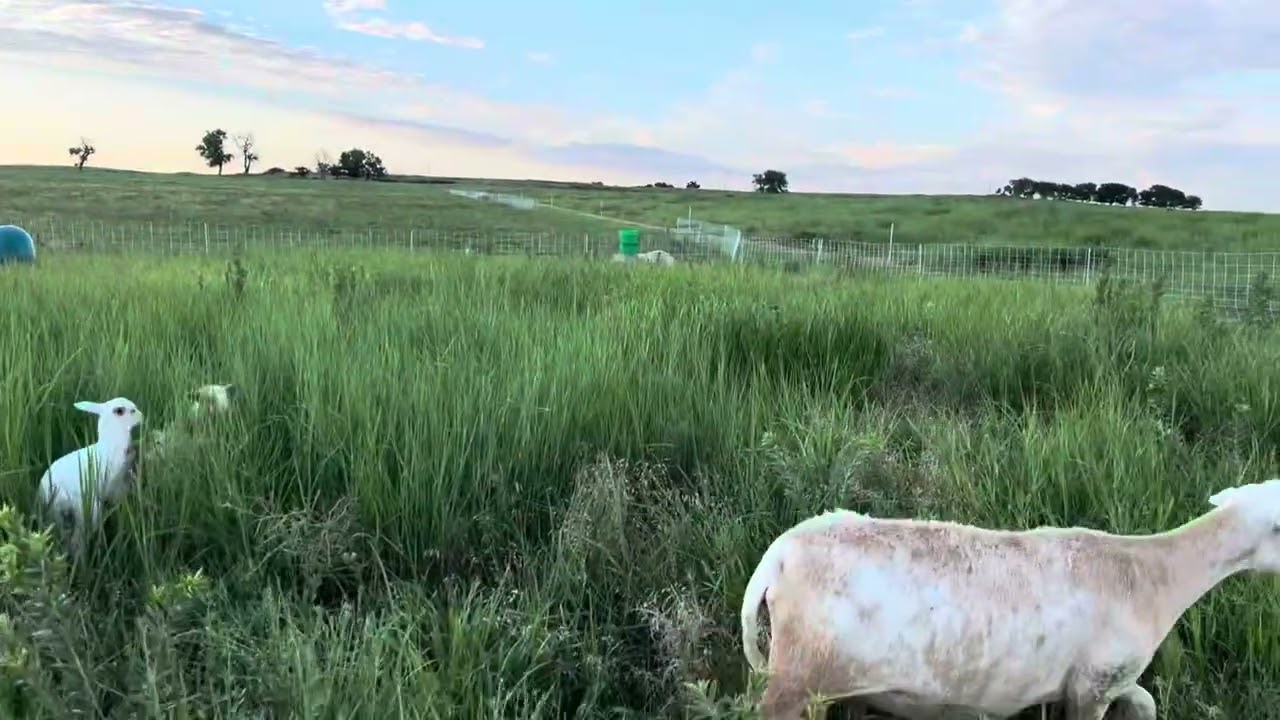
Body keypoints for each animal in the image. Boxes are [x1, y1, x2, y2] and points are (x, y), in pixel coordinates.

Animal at [740, 479, 1280, 720]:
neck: (1156, 577)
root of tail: (780, 553)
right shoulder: (1093, 683)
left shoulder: (1109, 681)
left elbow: (1145, 702)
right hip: (797, 676)